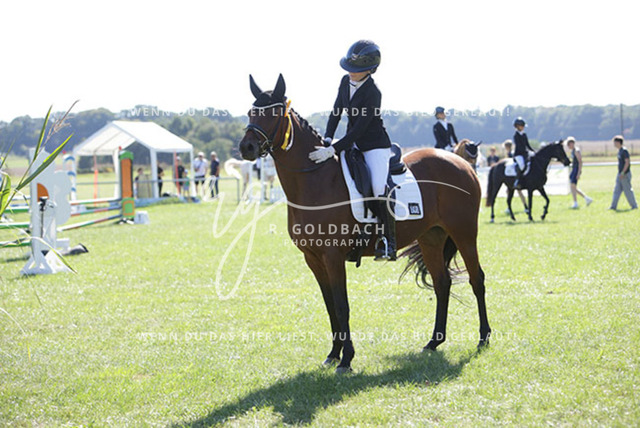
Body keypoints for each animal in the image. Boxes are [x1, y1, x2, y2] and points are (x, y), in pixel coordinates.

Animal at [239, 74, 491, 373]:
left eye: (275, 113)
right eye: (251, 112)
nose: (246, 147)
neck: (315, 179)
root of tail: (462, 164)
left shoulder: (333, 256)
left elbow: (342, 306)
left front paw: (346, 359)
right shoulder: (313, 258)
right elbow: (329, 306)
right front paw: (333, 354)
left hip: (464, 233)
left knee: (477, 279)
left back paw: (483, 338)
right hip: (431, 238)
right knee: (442, 283)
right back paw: (433, 342)